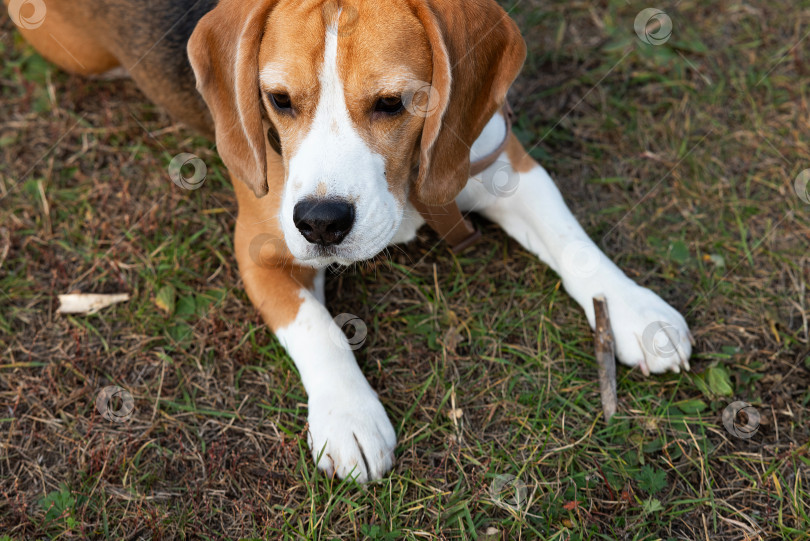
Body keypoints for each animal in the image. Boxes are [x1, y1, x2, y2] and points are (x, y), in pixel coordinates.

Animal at [9, 0, 692, 480]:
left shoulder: (503, 161)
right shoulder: (260, 249)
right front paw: (350, 418)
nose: (320, 222)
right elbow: (318, 328)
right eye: (278, 100)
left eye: (393, 104)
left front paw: (636, 311)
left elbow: (573, 239)